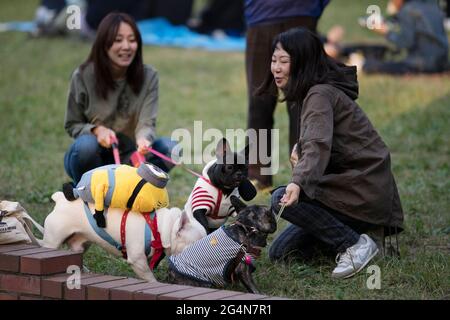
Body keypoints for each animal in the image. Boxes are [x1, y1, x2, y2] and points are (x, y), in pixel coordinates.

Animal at [42, 191, 206, 282]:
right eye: (197, 243)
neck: (161, 227)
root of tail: (60, 200)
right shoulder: (137, 259)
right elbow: (150, 278)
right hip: (53, 240)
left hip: (81, 243)